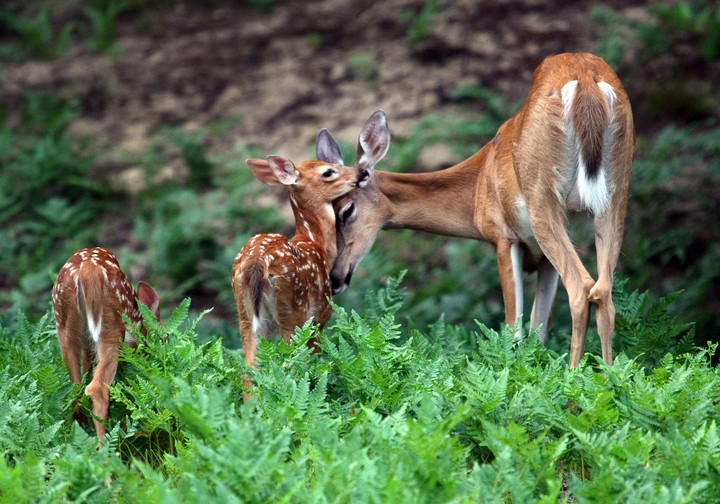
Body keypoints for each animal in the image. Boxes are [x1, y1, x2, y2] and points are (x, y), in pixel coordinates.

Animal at [52, 247, 160, 439]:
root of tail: (87, 269)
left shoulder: (88, 348)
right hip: (111, 325)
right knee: (97, 389)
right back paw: (105, 445)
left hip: (64, 324)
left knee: (76, 388)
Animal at [231, 111, 389, 398]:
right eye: (328, 171)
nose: (361, 173)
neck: (315, 243)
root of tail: (257, 262)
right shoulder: (320, 313)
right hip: (293, 309)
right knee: (288, 364)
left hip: (245, 314)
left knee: (249, 369)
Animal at [318, 53, 634, 368]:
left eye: (345, 210)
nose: (335, 277)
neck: (475, 189)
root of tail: (587, 82)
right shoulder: (542, 259)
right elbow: (538, 330)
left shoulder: (503, 236)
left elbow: (515, 331)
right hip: (615, 195)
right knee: (603, 292)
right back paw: (606, 377)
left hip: (542, 198)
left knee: (581, 288)